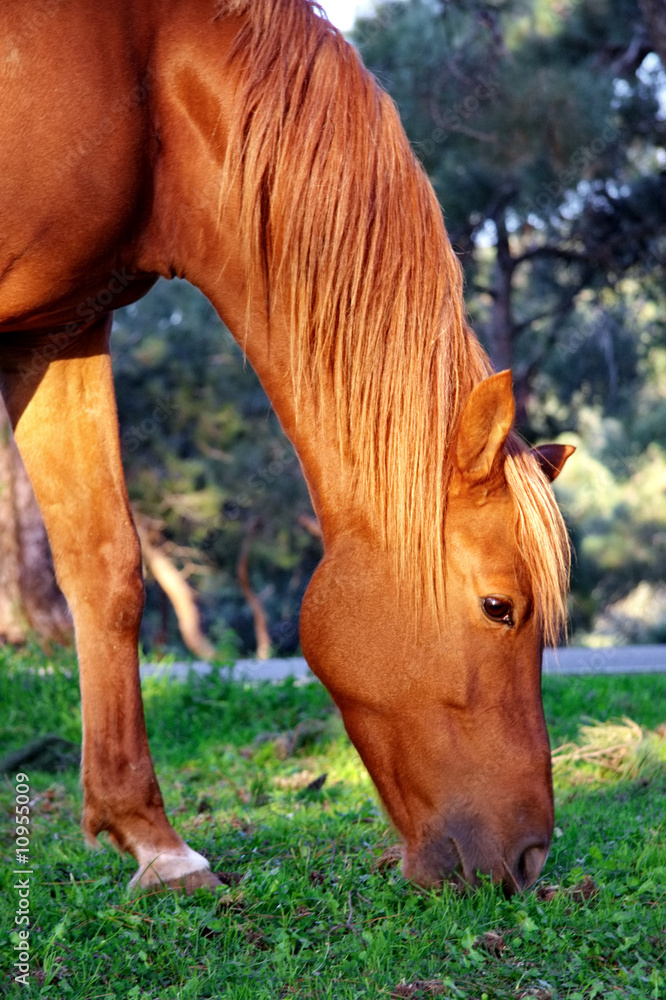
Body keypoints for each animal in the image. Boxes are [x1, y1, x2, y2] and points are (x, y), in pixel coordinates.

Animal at [0, 0, 572, 892]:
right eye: (498, 607)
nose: (530, 860)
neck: (144, 65)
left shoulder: (60, 330)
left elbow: (106, 566)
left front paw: (155, 844)